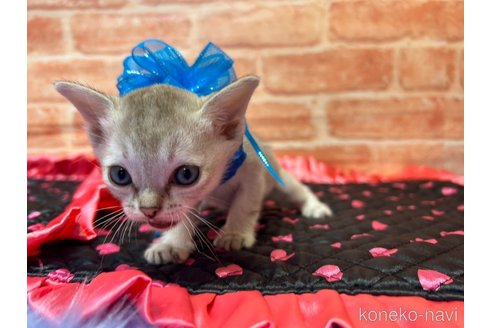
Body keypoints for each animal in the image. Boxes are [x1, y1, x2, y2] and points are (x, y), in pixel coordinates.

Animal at [55, 76, 332, 264]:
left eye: (186, 174)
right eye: (119, 175)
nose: (148, 211)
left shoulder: (253, 170)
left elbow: (245, 204)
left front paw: (234, 233)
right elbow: (181, 216)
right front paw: (171, 243)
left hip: (278, 177)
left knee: (298, 189)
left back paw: (315, 207)